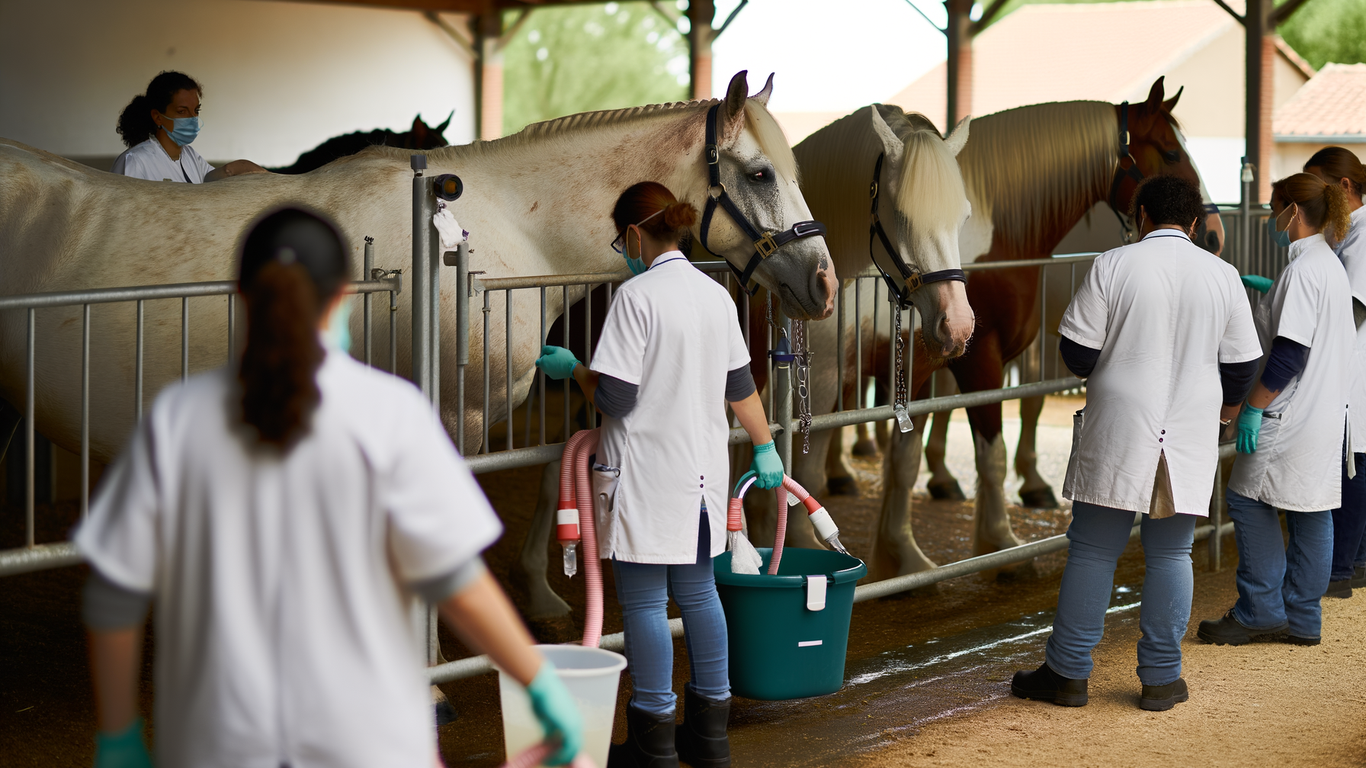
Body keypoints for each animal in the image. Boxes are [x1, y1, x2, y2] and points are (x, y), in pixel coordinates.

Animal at [809, 77, 1213, 580]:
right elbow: (986, 453)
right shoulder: (973, 357)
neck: (994, 236)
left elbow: (946, 443)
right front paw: (996, 543)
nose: (1212, 234)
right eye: (1171, 153)